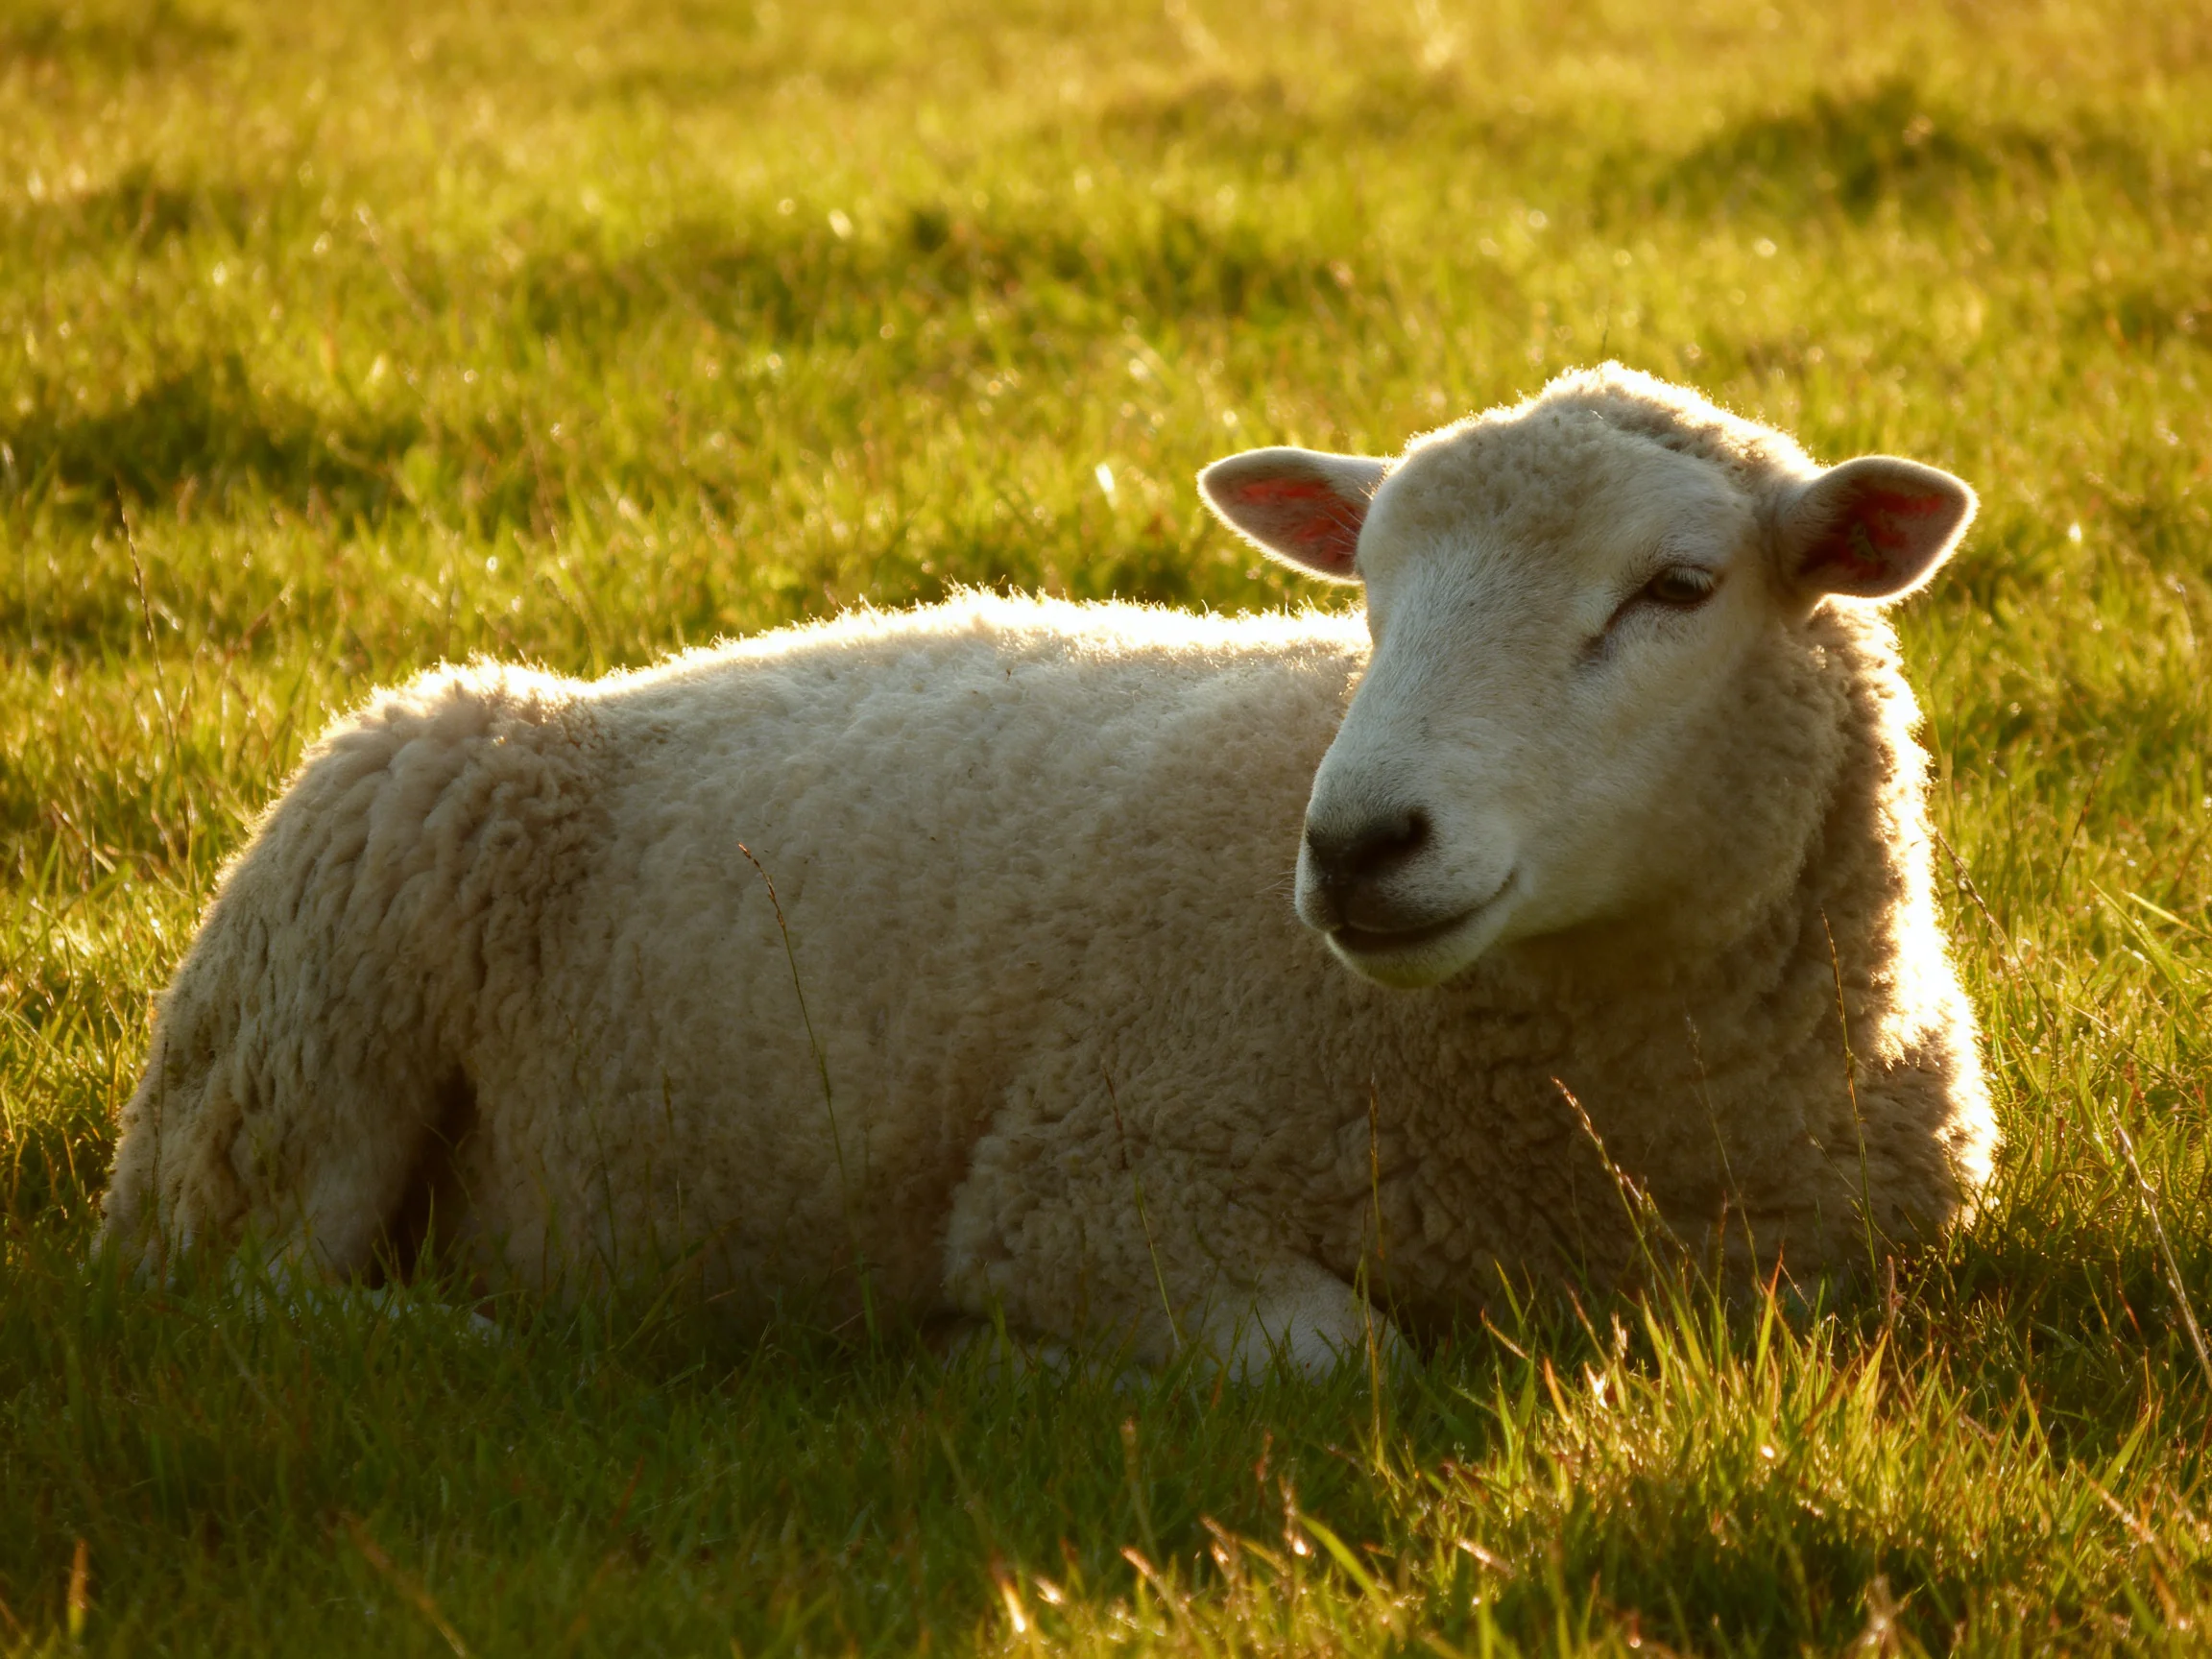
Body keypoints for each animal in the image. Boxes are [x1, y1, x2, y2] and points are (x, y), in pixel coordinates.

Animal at [101, 364, 1998, 1372]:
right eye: (1368, 593)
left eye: (1677, 589)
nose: (1354, 844)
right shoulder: (1086, 1179)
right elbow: (1345, 1358)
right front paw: (994, 1366)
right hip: (299, 1035)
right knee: (245, 1298)